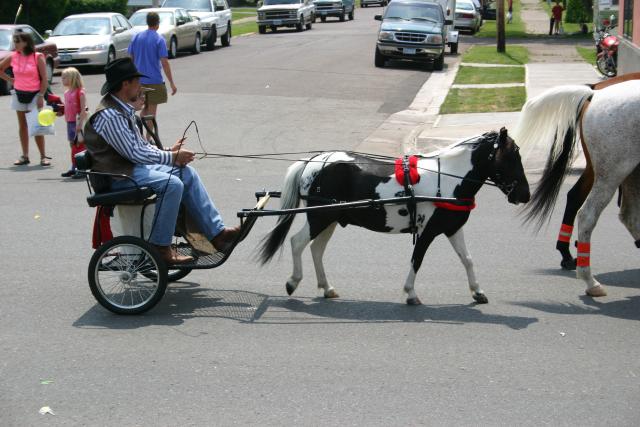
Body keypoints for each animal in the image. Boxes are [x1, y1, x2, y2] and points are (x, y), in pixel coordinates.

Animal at [258, 128, 531, 305]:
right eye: (511, 155)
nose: (526, 195)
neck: (447, 178)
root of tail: (315, 160)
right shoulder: (426, 231)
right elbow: (416, 260)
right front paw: (410, 293)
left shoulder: (452, 228)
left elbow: (468, 259)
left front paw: (477, 292)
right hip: (320, 217)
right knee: (297, 243)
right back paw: (293, 282)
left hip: (330, 219)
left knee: (316, 249)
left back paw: (327, 288)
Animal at [514, 79, 640, 297]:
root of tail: (595, 93)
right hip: (613, 171)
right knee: (586, 214)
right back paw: (589, 280)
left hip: (630, 171)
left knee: (628, 216)